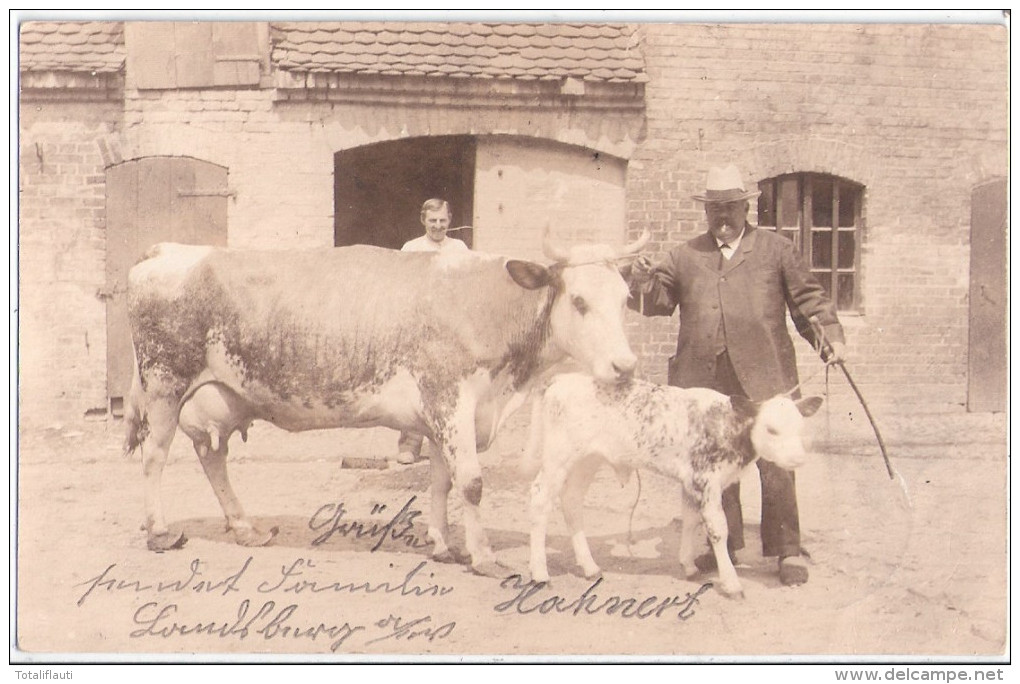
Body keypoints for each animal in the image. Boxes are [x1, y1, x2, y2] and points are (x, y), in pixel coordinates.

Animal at [125, 231, 644, 579]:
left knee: (212, 457)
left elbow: (440, 483)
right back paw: (159, 532)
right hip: (165, 383)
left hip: (217, 396)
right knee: (154, 457)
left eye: (625, 299)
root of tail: (166, 250)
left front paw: (444, 546)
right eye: (579, 301)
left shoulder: (440, 417)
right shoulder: (451, 400)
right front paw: (485, 558)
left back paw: (245, 527)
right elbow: (473, 484)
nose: (625, 366)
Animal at [522, 375, 824, 599]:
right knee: (539, 498)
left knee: (571, 501)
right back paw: (540, 574)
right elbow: (718, 530)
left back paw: (589, 567)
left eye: (800, 428)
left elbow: (690, 520)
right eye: (771, 429)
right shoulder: (706, 479)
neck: (726, 425)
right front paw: (731, 583)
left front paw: (689, 566)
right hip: (559, 456)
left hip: (588, 459)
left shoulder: (692, 481)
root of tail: (561, 380)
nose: (797, 458)